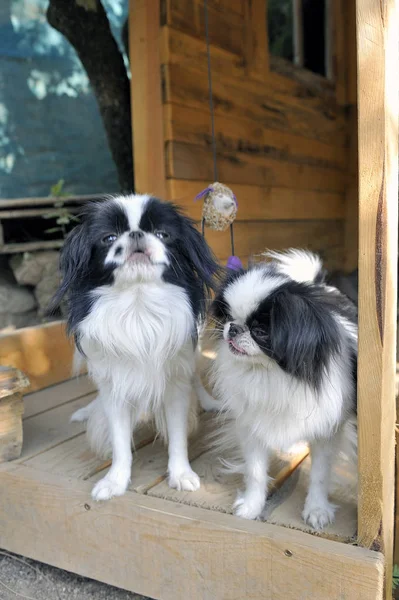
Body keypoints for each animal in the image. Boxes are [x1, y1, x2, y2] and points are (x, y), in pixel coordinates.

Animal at [205, 250, 358, 528]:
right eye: (229, 317)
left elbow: (320, 473)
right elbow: (255, 471)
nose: (233, 329)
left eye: (260, 331)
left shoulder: (326, 431)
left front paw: (316, 509)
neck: (271, 373)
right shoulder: (251, 426)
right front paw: (252, 506)